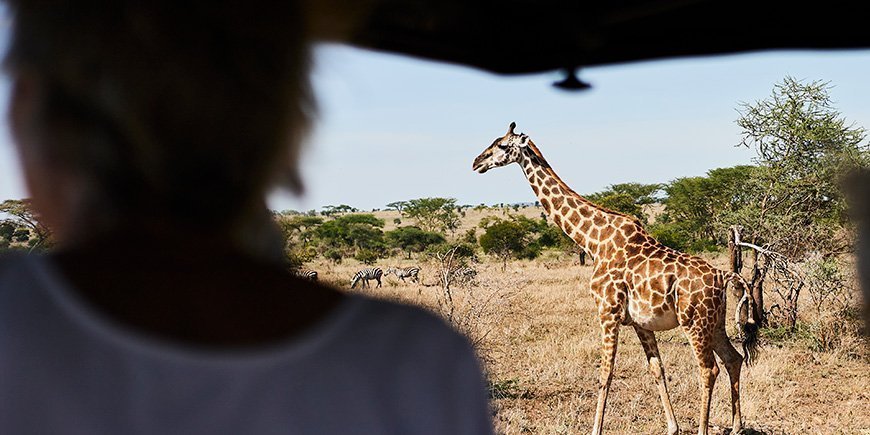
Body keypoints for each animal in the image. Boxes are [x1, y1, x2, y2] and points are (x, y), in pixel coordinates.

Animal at [474, 122, 760, 435]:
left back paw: (704, 429)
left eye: (502, 145)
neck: (593, 242)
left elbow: (605, 372)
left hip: (694, 321)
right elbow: (656, 369)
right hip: (714, 321)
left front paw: (595, 429)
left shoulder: (607, 311)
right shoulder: (639, 322)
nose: (477, 162)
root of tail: (722, 274)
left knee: (709, 369)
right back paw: (736, 426)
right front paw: (672, 427)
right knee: (733, 358)